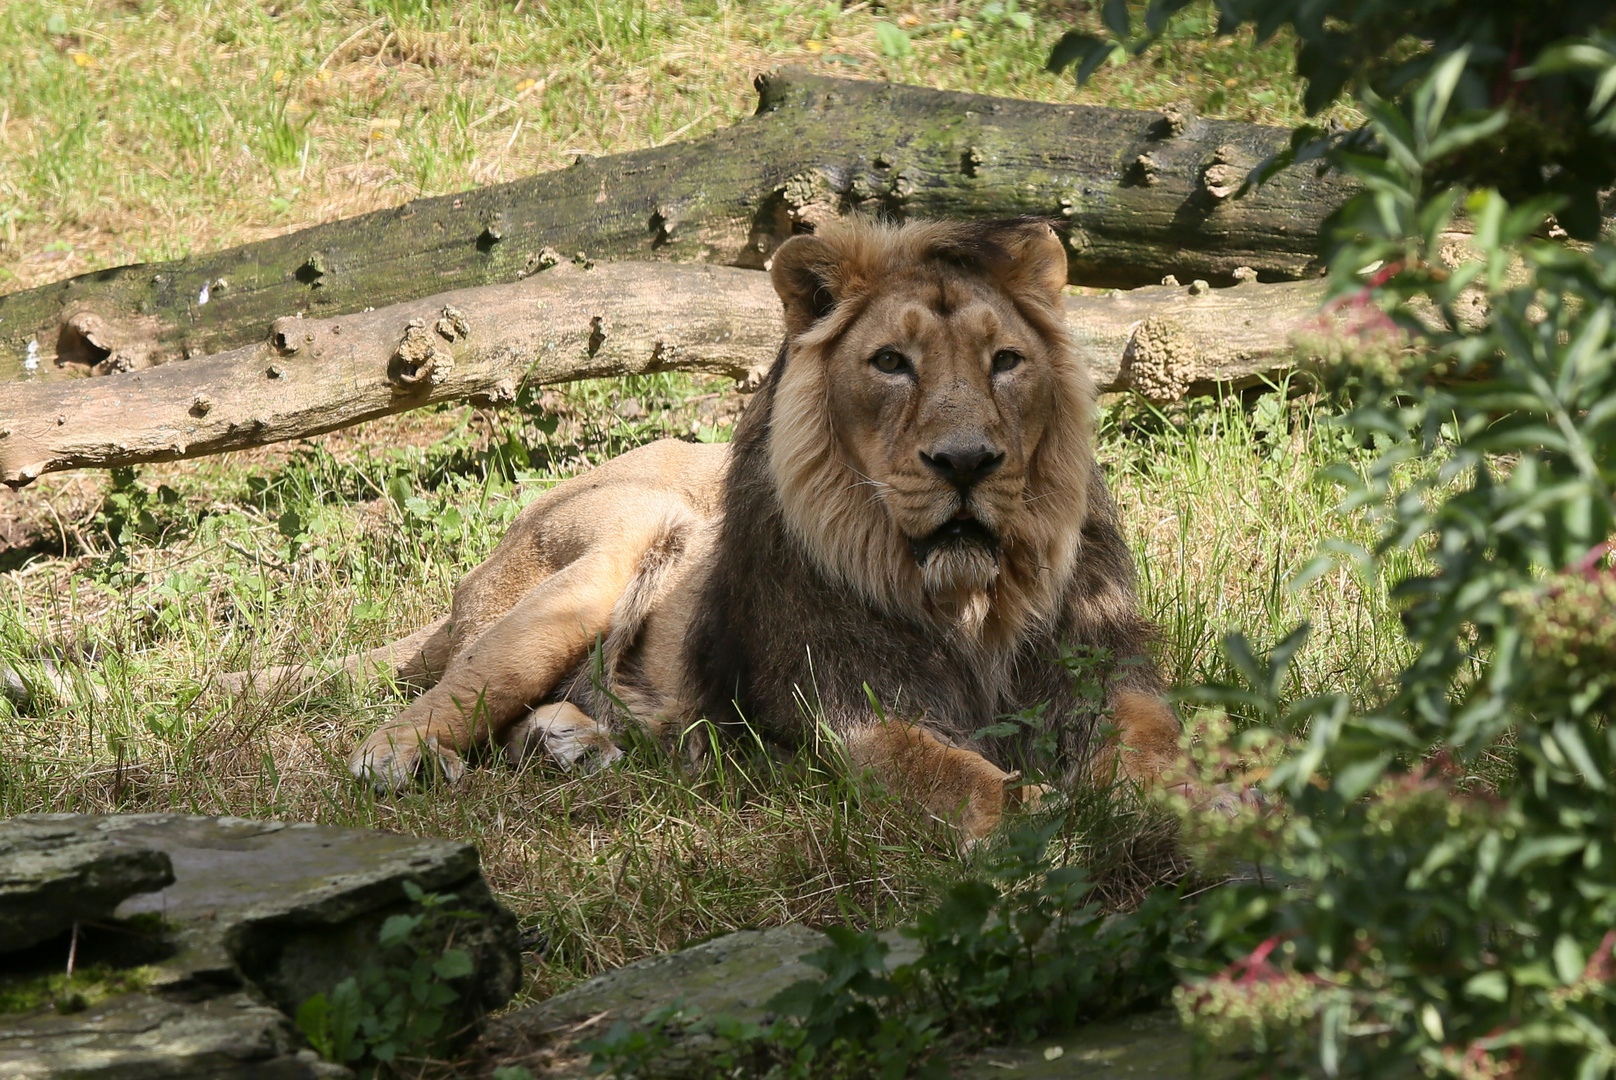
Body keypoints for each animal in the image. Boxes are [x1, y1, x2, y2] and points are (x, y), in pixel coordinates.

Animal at [234, 219, 1182, 840]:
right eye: (891, 363)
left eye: (1006, 362)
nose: (966, 463)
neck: (972, 599)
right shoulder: (853, 710)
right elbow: (955, 776)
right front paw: (1044, 823)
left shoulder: (1102, 668)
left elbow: (1159, 739)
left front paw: (1187, 807)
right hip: (610, 549)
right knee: (439, 698)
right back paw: (405, 760)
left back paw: (573, 742)